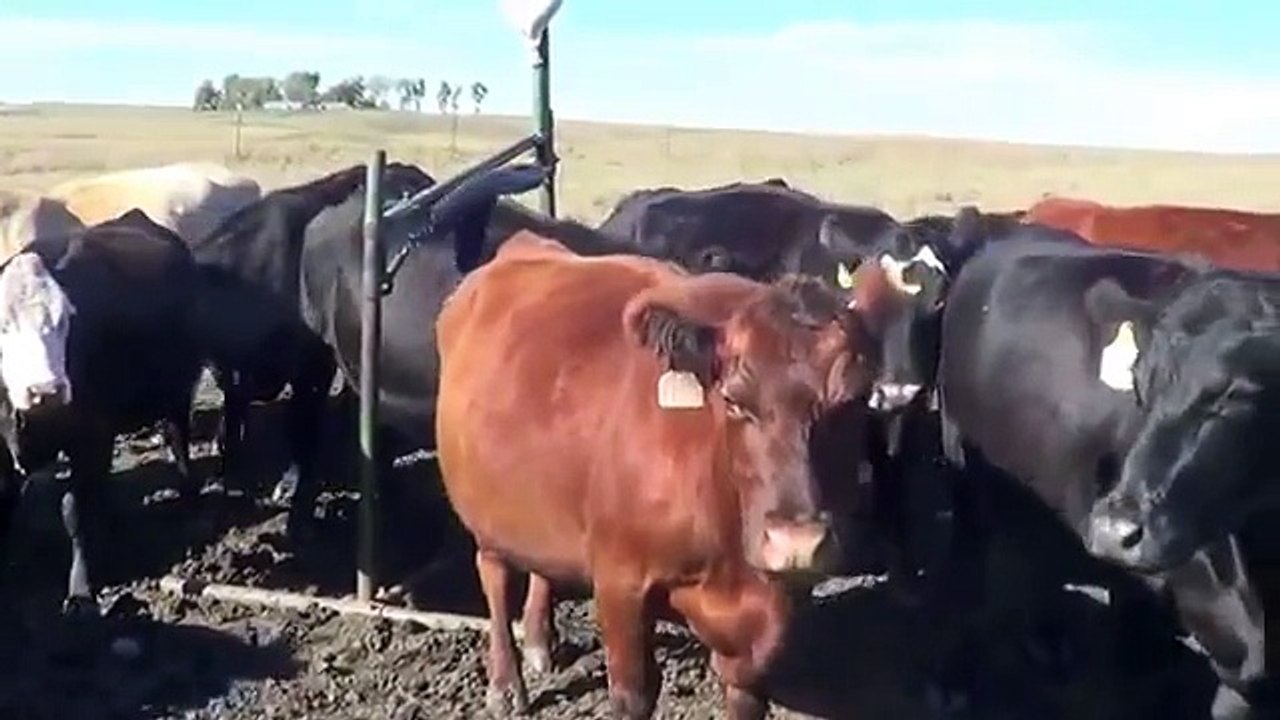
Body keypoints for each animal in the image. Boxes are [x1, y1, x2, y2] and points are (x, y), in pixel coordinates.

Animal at [0, 210, 206, 612]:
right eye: (2, 326)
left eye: (64, 320)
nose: (46, 390)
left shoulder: (91, 436)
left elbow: (74, 511)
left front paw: (81, 590)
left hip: (178, 388)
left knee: (178, 438)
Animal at [433, 230, 892, 719]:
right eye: (733, 400)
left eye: (852, 400)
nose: (796, 544)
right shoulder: (619, 583)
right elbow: (633, 695)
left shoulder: (771, 613)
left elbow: (746, 694)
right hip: (483, 512)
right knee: (495, 577)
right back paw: (505, 684)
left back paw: (539, 641)